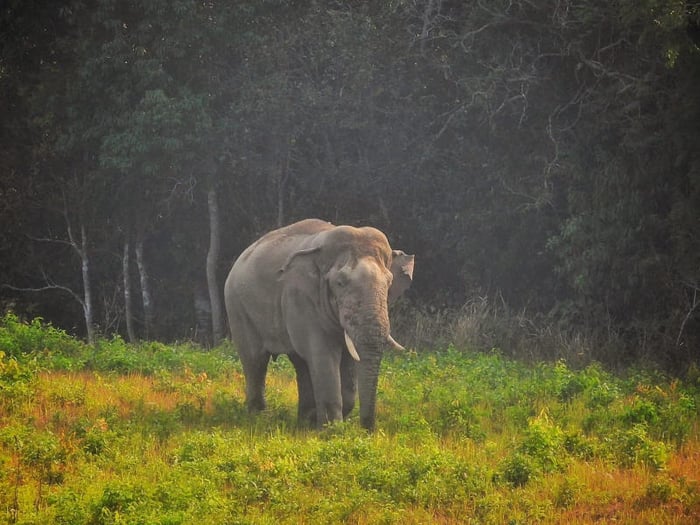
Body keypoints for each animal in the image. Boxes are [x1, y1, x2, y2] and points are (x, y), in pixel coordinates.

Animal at [224, 217, 412, 430]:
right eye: (340, 283)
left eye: (389, 283)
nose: (368, 431)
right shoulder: (302, 298)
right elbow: (323, 355)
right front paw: (331, 431)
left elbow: (348, 360)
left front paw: (320, 423)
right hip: (237, 308)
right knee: (255, 361)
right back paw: (257, 418)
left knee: (300, 363)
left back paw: (304, 421)